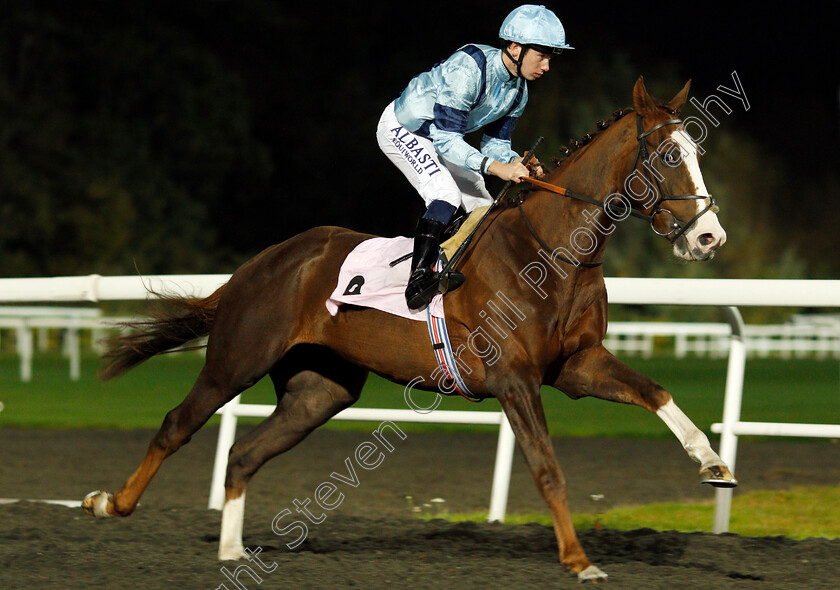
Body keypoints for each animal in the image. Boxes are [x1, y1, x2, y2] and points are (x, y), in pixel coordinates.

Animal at [82, 77, 732, 584]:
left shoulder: (576, 365)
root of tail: (259, 264)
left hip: (320, 390)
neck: (552, 252)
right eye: (669, 156)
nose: (709, 237)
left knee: (244, 456)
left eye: (697, 151)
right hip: (238, 357)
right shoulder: (515, 378)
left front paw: (712, 463)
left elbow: (656, 392)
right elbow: (547, 468)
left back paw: (232, 549)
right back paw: (109, 503)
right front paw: (579, 560)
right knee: (177, 425)